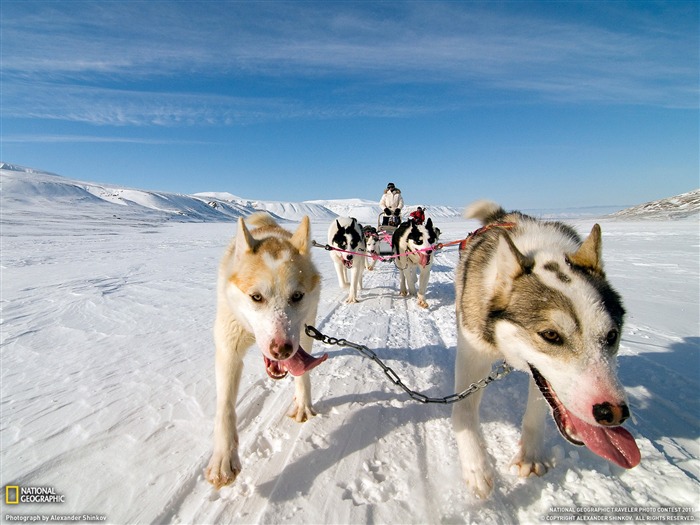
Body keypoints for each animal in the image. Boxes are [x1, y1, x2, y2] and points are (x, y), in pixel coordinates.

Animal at [205, 212, 328, 488]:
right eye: (256, 297)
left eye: (297, 296)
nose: (281, 349)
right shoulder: (228, 347)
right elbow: (225, 407)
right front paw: (223, 458)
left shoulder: (303, 335)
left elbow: (303, 376)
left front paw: (303, 403)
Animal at [454, 200, 640, 496]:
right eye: (551, 335)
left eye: (612, 335)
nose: (612, 413)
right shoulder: (473, 353)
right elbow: (463, 412)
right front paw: (477, 468)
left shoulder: (541, 376)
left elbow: (538, 410)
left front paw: (530, 456)